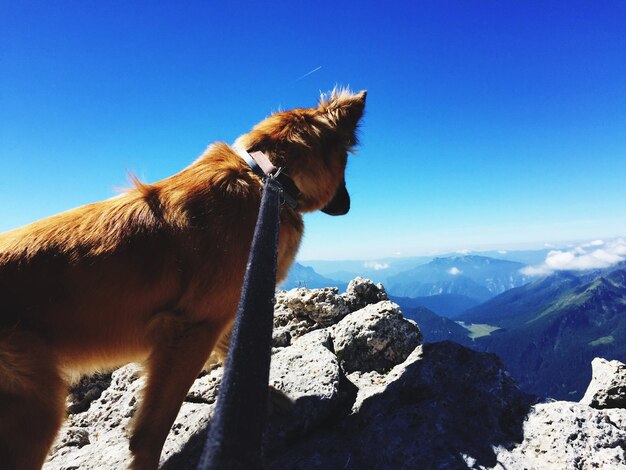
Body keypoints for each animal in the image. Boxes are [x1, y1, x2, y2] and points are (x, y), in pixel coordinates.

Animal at [0, 89, 366, 470]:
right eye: (345, 161)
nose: (348, 205)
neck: (264, 175)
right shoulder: (191, 329)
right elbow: (151, 432)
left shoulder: (222, 312)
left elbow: (234, 349)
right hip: (37, 402)